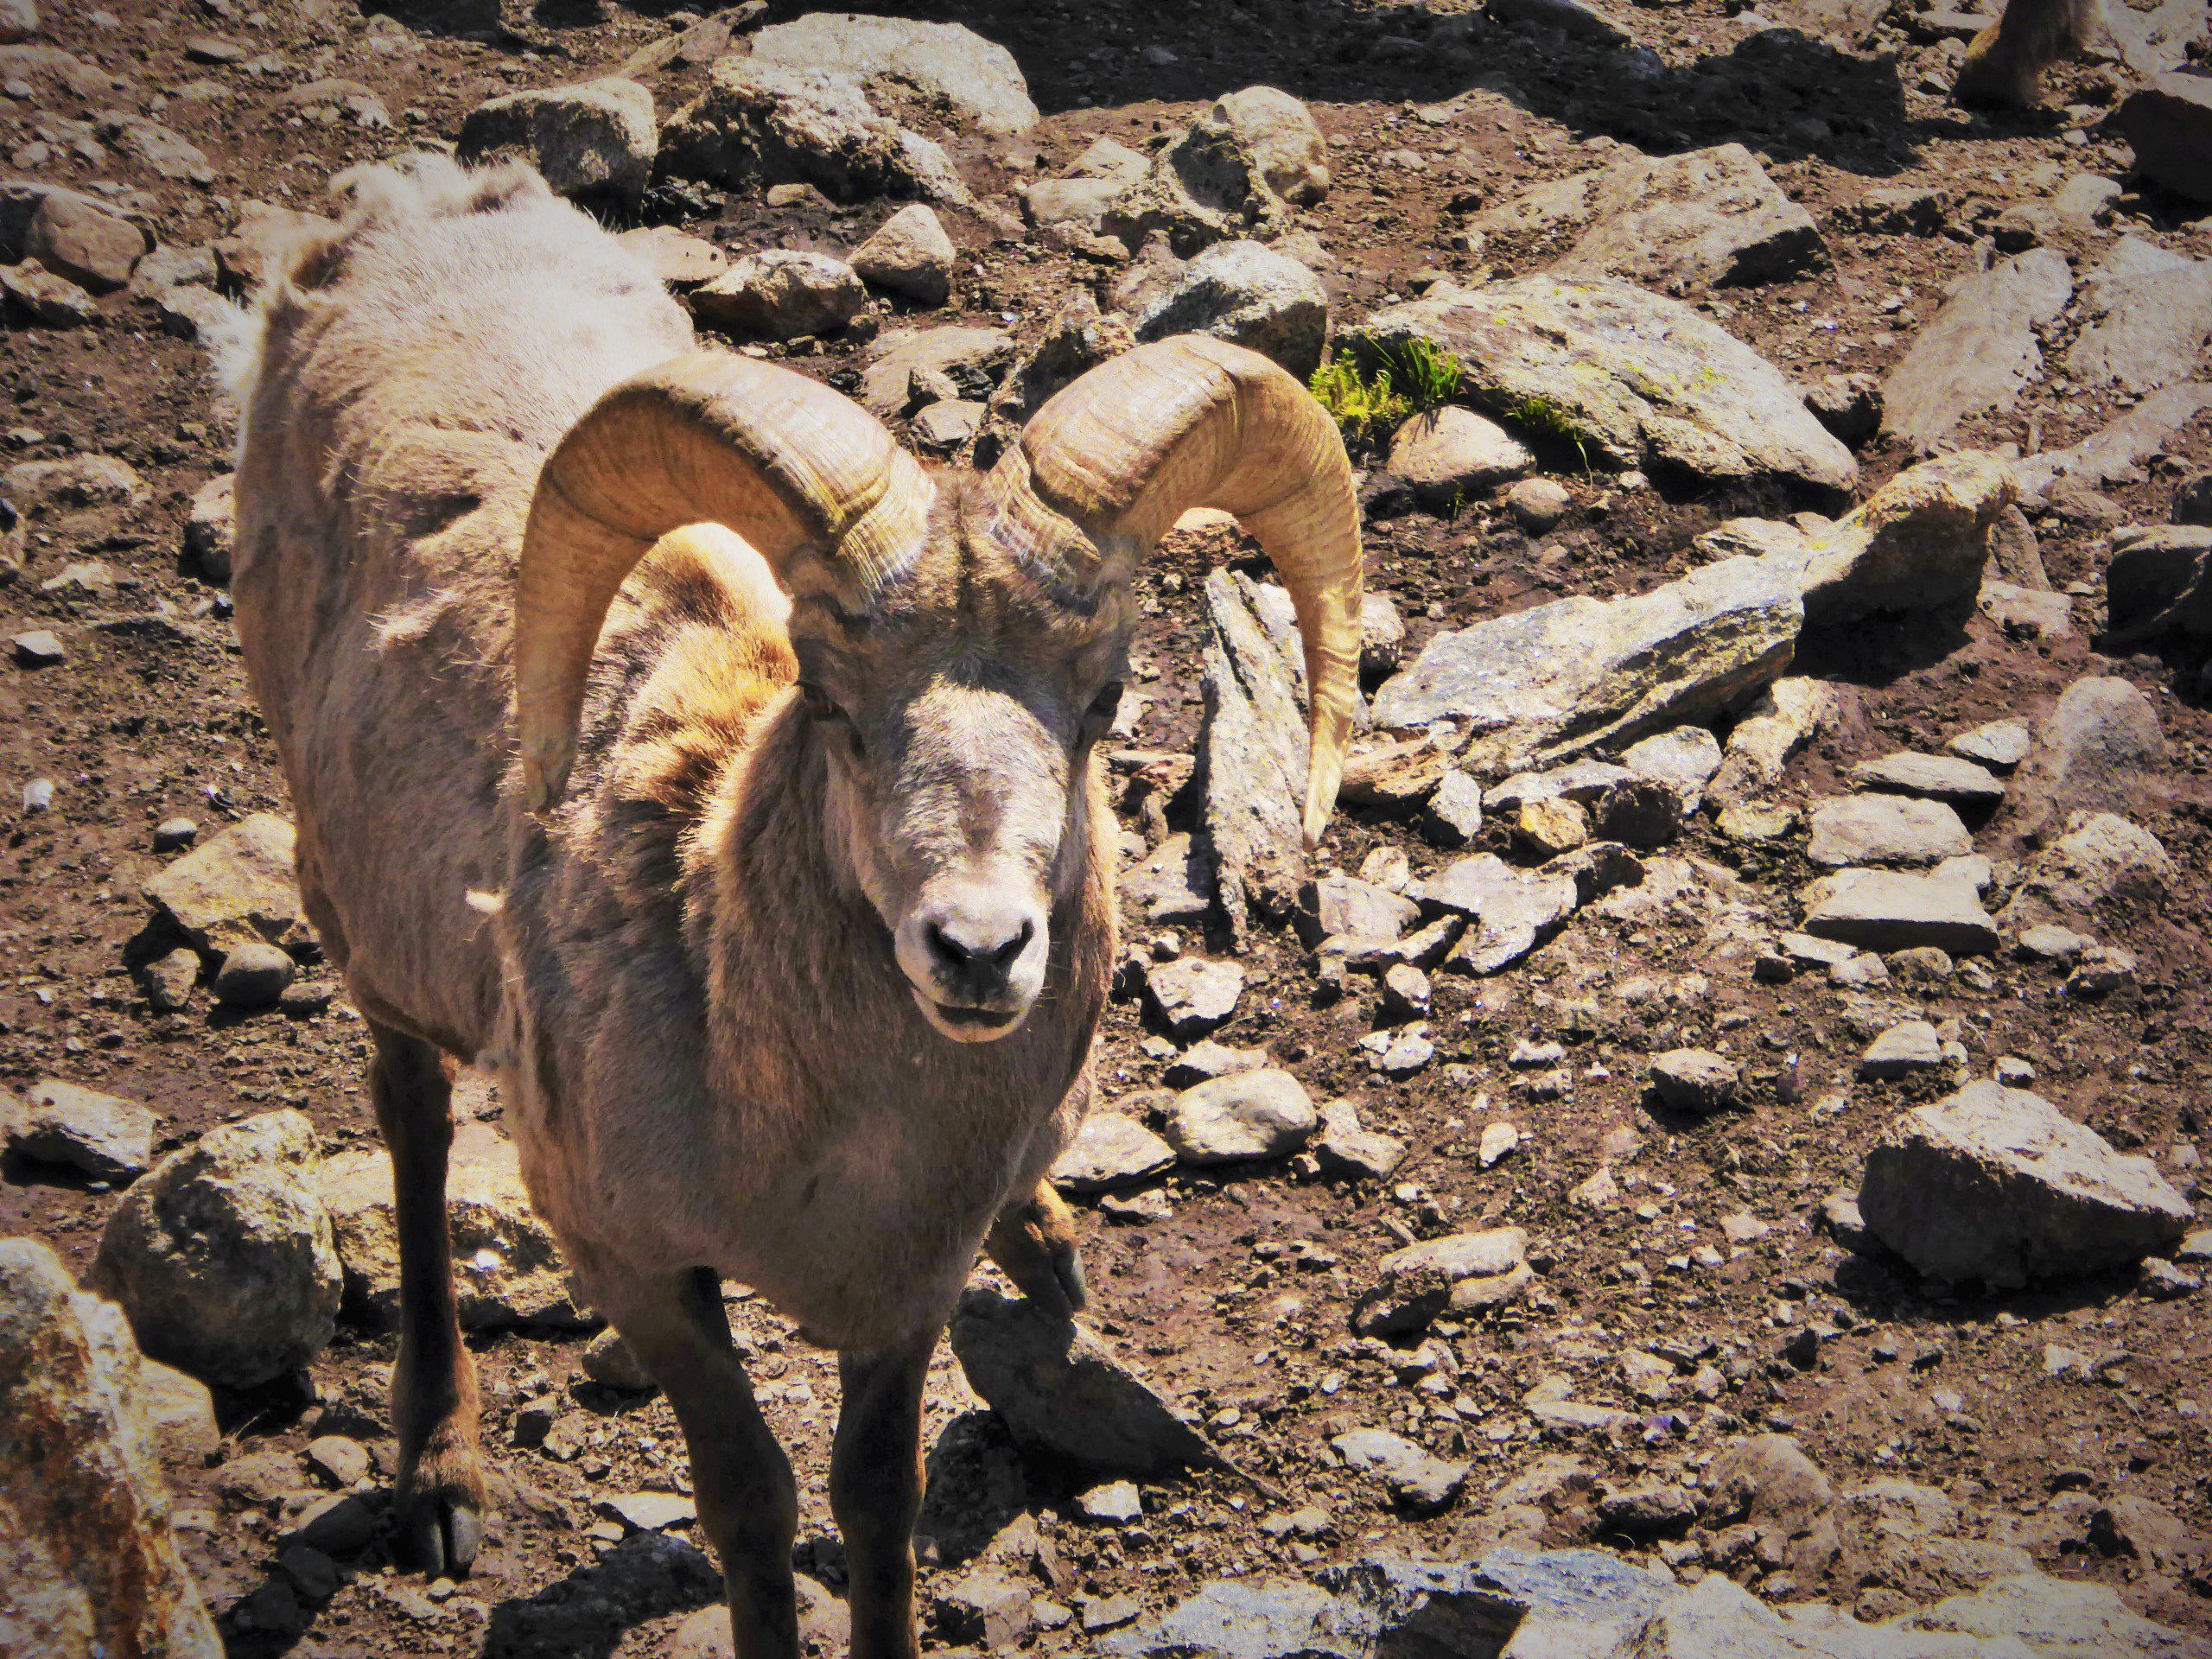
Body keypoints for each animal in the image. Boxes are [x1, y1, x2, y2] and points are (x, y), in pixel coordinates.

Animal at [219, 156, 1361, 1658]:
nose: (977, 951)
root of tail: (398, 211)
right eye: (828, 699)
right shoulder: (642, 1272)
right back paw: (440, 1474)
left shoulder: (908, 1295)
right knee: (409, 1119)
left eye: (1104, 700)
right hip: (366, 932)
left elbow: (877, 1501)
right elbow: (751, 1504)